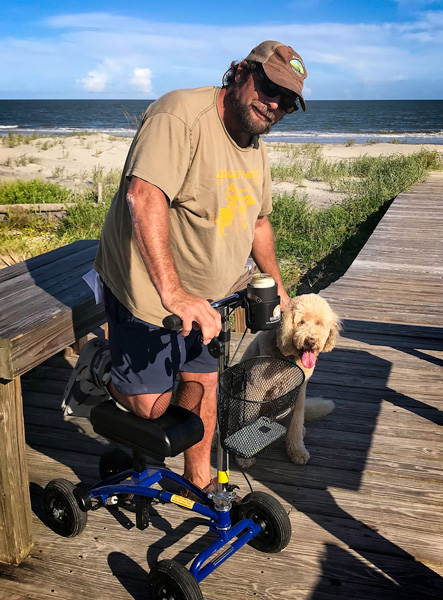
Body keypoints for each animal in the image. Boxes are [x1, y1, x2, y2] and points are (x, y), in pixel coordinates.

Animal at [238, 292, 342, 466]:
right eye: (301, 322)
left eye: (319, 323)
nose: (311, 341)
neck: (290, 358)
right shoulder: (254, 388)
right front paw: (243, 457)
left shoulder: (298, 394)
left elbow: (296, 424)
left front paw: (297, 451)